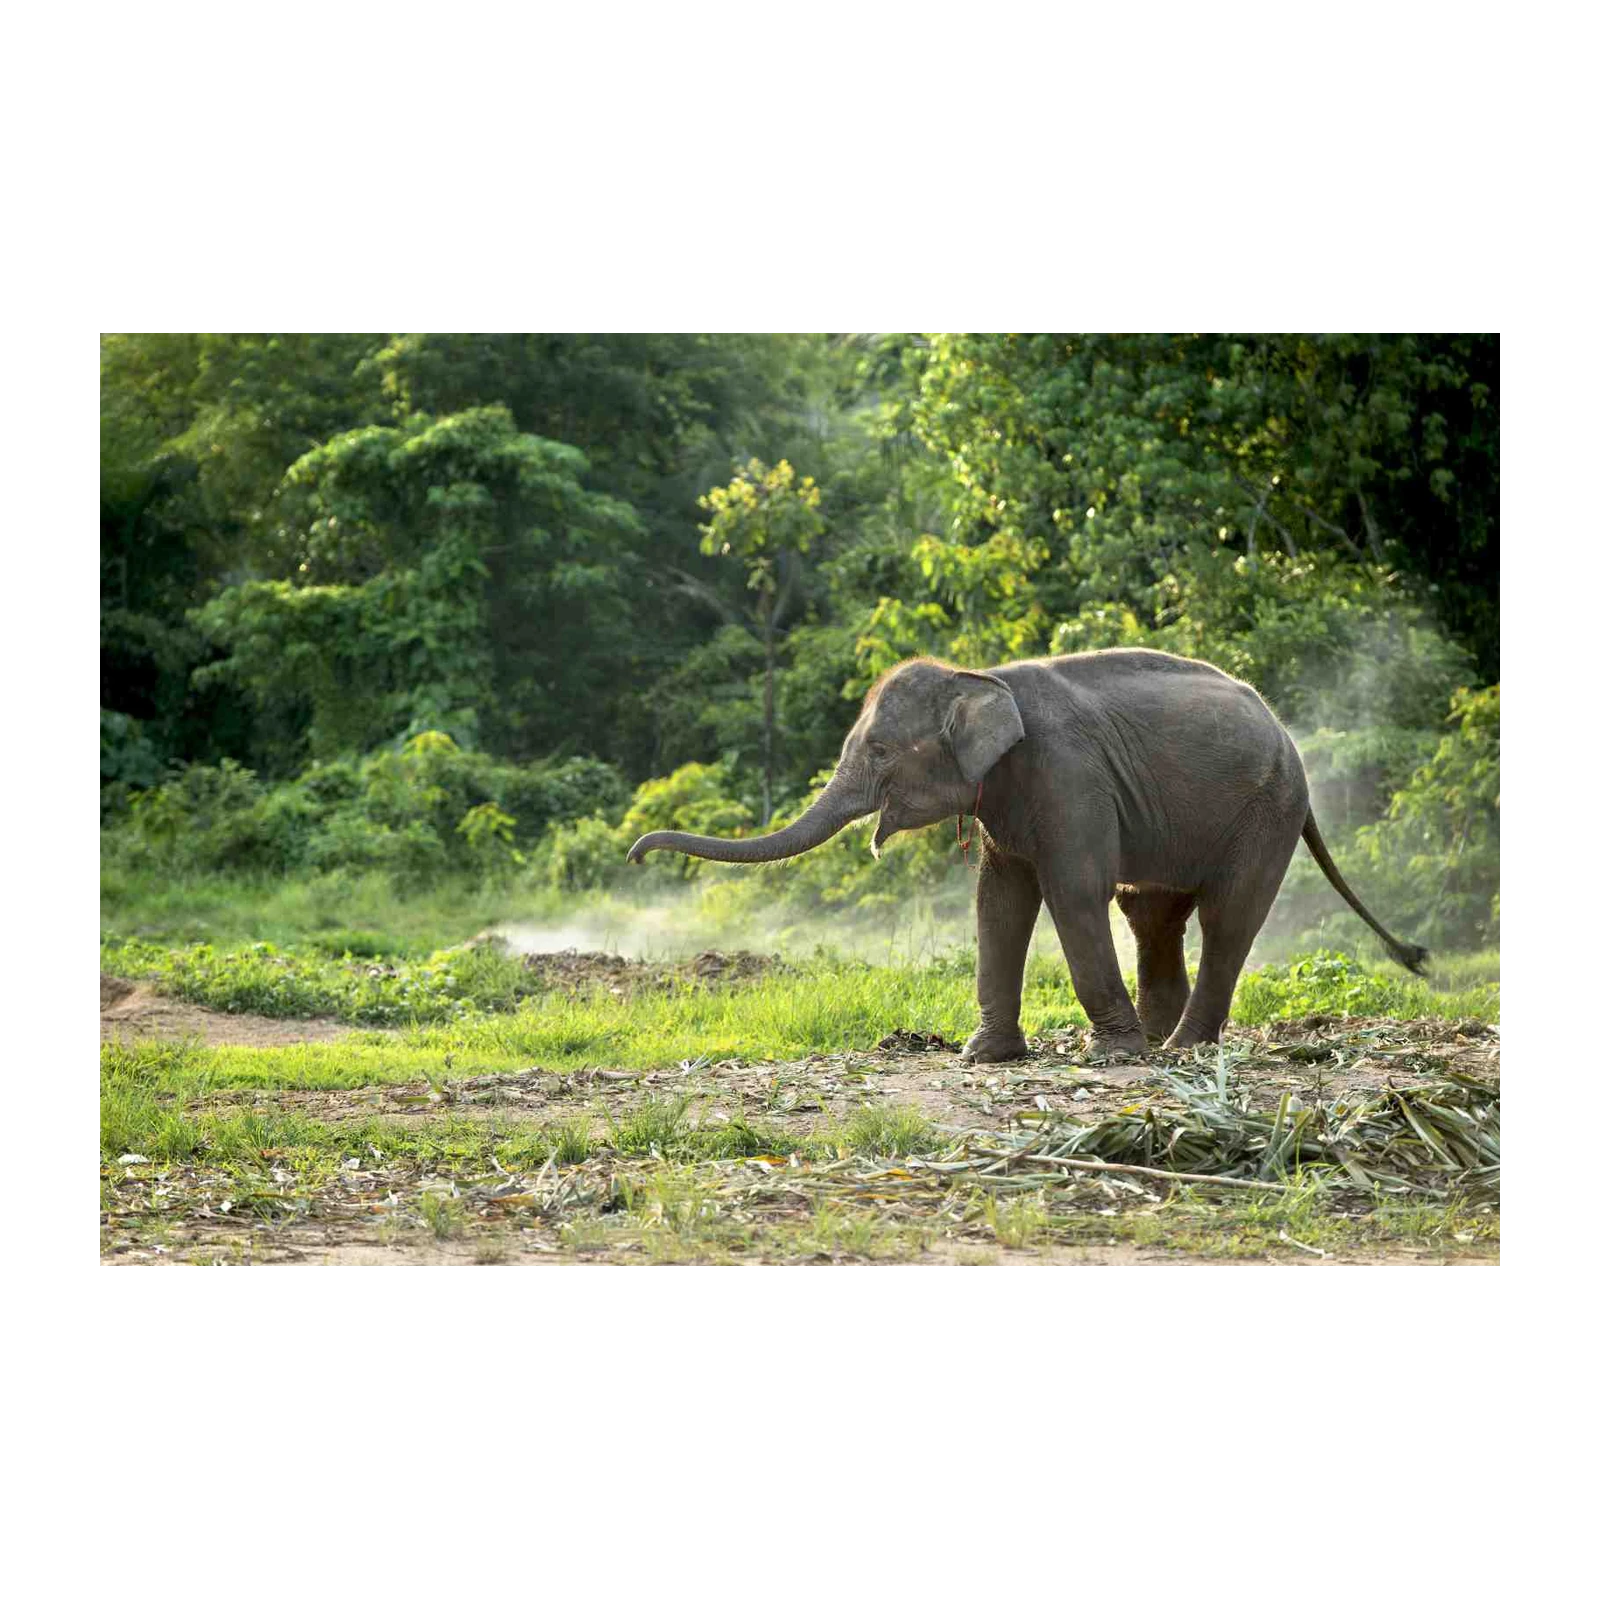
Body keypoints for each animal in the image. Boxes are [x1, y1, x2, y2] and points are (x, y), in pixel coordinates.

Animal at [625, 649, 1427, 1062]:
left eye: (878, 750)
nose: (635, 856)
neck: (980, 675)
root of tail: (1287, 734)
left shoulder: (1067, 776)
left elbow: (1072, 892)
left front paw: (1110, 1058)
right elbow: (1000, 902)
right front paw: (984, 1056)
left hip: (1268, 811)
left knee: (1227, 919)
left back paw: (1176, 1049)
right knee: (1151, 914)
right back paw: (1158, 1037)